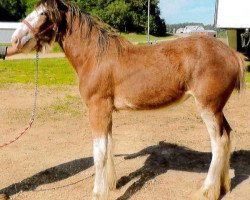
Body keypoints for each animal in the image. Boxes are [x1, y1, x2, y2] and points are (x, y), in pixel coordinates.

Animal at [6, 0, 246, 200]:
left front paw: (98, 193)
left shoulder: (97, 108)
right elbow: (110, 144)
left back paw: (208, 190)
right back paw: (223, 186)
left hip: (208, 107)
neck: (96, 57)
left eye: (44, 13)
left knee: (219, 142)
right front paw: (111, 184)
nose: (14, 40)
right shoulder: (107, 111)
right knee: (228, 136)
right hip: (217, 109)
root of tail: (233, 55)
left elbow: (99, 151)